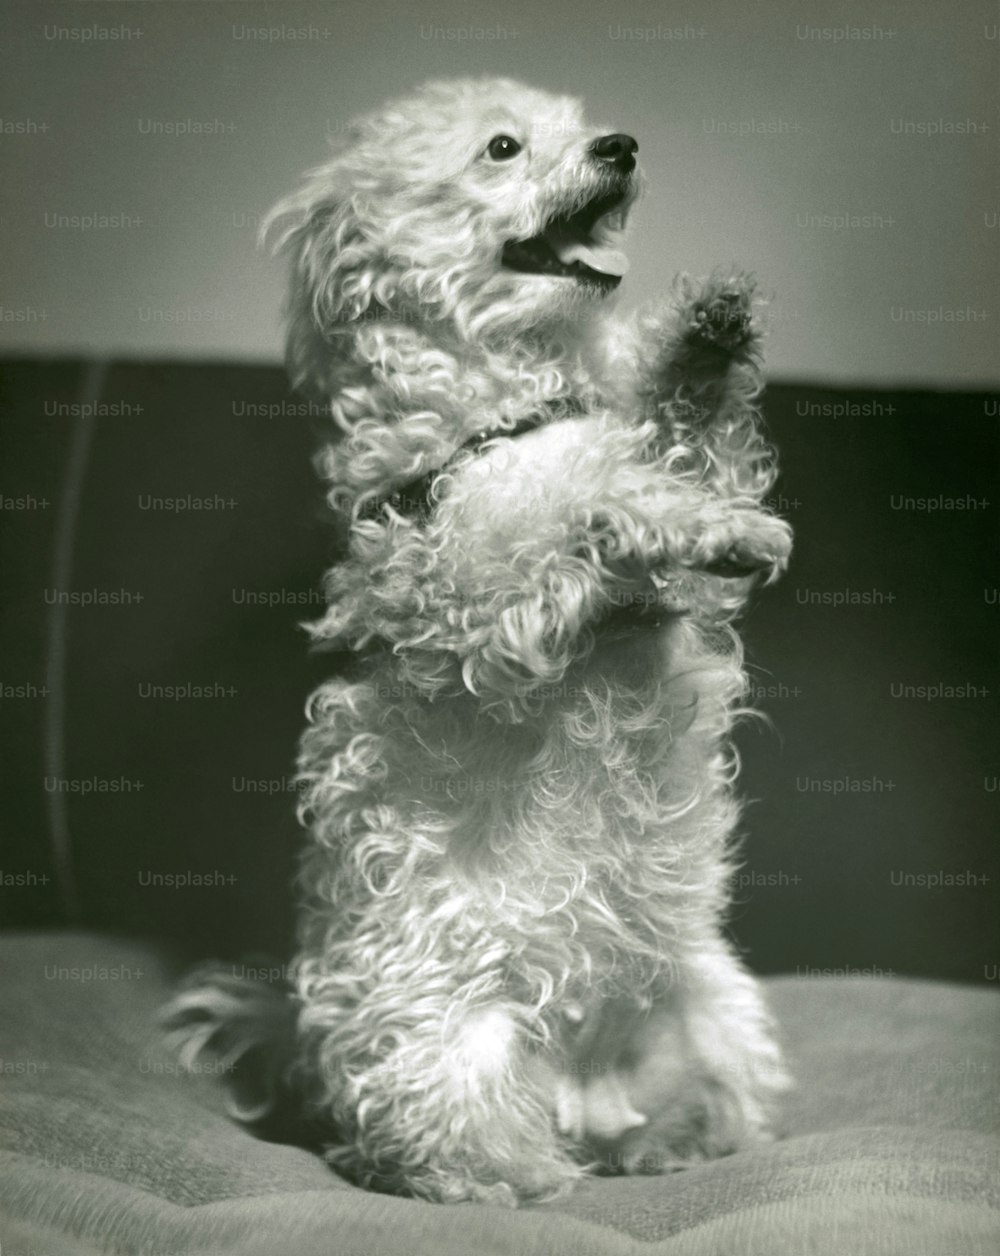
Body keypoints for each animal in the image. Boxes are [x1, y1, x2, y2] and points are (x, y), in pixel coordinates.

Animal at [169, 78, 798, 1205]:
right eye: (502, 148)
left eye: (580, 123)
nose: (621, 144)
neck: (517, 404)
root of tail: (583, 1094)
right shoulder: (462, 599)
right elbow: (585, 508)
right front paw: (660, 509)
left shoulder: (684, 573)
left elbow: (693, 444)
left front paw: (707, 337)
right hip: (440, 1057)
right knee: (441, 1153)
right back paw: (511, 1177)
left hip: (720, 1013)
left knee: (692, 1117)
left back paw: (664, 1144)